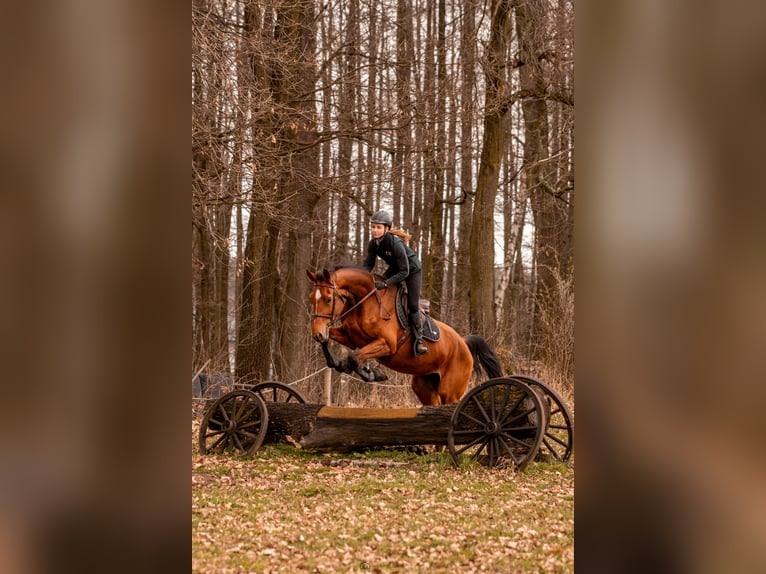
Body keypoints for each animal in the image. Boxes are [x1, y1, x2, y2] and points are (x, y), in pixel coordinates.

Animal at [306, 266, 503, 405]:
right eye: (311, 298)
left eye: (328, 299)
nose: (316, 333)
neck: (364, 302)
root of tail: (463, 342)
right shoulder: (351, 337)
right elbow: (336, 344)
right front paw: (338, 362)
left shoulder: (386, 344)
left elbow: (355, 357)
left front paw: (372, 374)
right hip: (425, 386)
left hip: (451, 391)